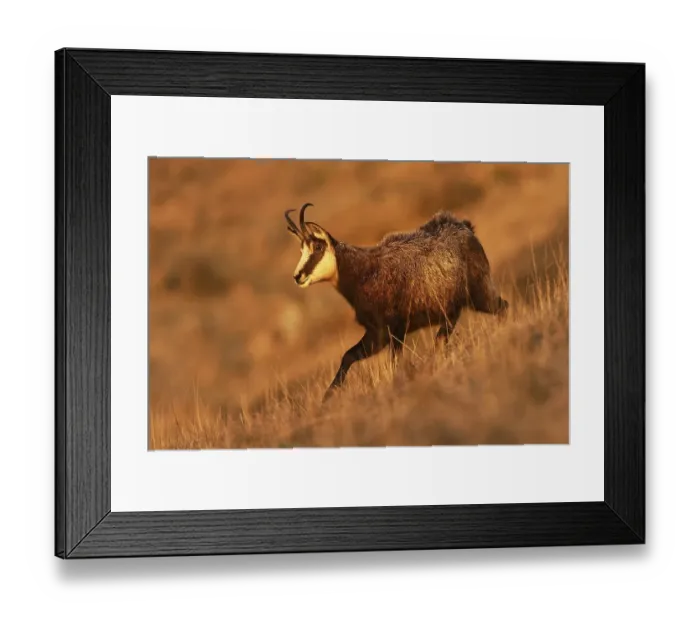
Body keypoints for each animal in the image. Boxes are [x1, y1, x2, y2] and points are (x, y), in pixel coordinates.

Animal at [285, 202, 509, 402]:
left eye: (318, 247)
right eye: (301, 250)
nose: (297, 276)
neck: (362, 273)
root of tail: (464, 226)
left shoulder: (391, 331)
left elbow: (387, 363)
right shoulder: (378, 333)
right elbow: (349, 355)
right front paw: (327, 397)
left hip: (479, 292)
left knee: (502, 306)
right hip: (452, 308)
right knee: (443, 335)